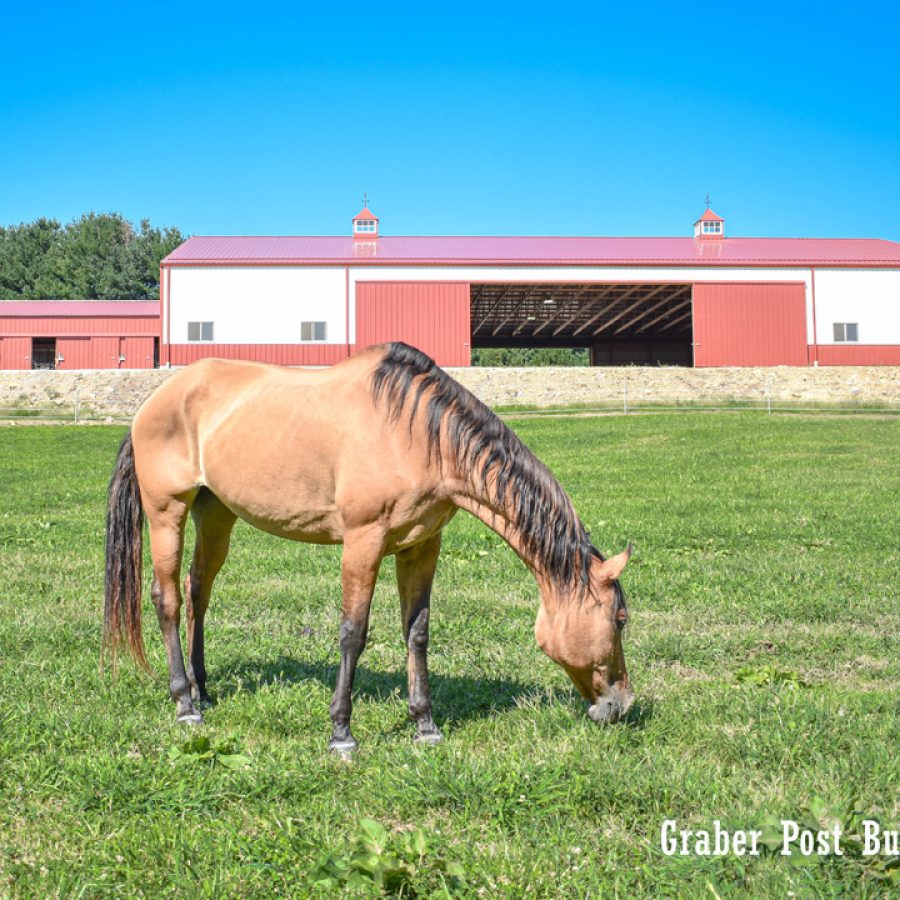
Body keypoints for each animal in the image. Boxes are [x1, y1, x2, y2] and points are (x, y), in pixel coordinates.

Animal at [104, 342, 633, 752]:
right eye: (621, 619)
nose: (622, 704)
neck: (418, 435)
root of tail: (153, 402)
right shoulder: (363, 541)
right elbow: (352, 633)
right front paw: (341, 732)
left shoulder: (421, 546)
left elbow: (416, 633)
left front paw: (425, 725)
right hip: (166, 513)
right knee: (168, 599)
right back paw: (185, 702)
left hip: (215, 515)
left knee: (199, 593)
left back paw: (205, 690)